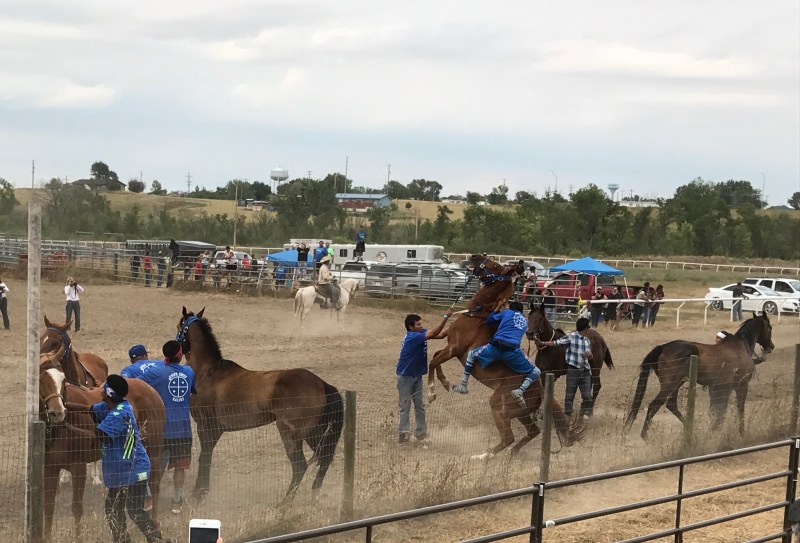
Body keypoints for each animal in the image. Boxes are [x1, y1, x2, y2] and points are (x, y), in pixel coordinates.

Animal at [176, 307, 344, 500]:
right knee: (324, 460)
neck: (209, 373)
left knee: (300, 466)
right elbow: (207, 456)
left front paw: (198, 493)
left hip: (291, 434)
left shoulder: (205, 427)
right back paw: (313, 498)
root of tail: (322, 384)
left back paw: (284, 503)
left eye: (179, 326)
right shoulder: (215, 430)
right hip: (314, 433)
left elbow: (203, 457)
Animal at [426, 255, 574, 457]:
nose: (474, 256)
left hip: (499, 405)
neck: (476, 316)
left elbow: (433, 361)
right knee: (532, 431)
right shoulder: (450, 346)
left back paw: (482, 456)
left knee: (508, 437)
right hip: (521, 413)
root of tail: (540, 389)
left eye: (495, 266)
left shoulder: (454, 348)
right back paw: (511, 454)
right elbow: (435, 357)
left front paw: (432, 392)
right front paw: (445, 382)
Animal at [623, 314, 774, 439]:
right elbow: (739, 408)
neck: (740, 347)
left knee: (671, 404)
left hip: (677, 383)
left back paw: (690, 427)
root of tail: (663, 348)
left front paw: (714, 430)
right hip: (670, 384)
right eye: (769, 328)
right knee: (654, 405)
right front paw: (742, 433)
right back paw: (645, 435)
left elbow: (718, 410)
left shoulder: (720, 387)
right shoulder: (741, 385)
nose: (771, 346)